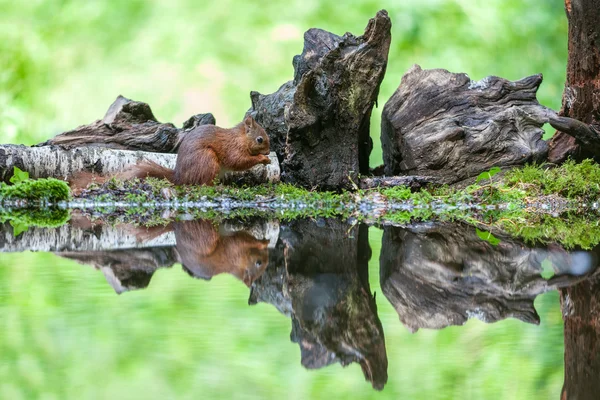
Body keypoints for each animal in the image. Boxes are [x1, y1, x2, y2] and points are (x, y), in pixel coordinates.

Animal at [68, 115, 272, 190]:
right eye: (260, 139)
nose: (269, 151)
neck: (240, 138)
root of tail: (179, 177)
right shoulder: (232, 148)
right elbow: (238, 160)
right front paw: (262, 159)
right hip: (207, 160)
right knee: (202, 184)